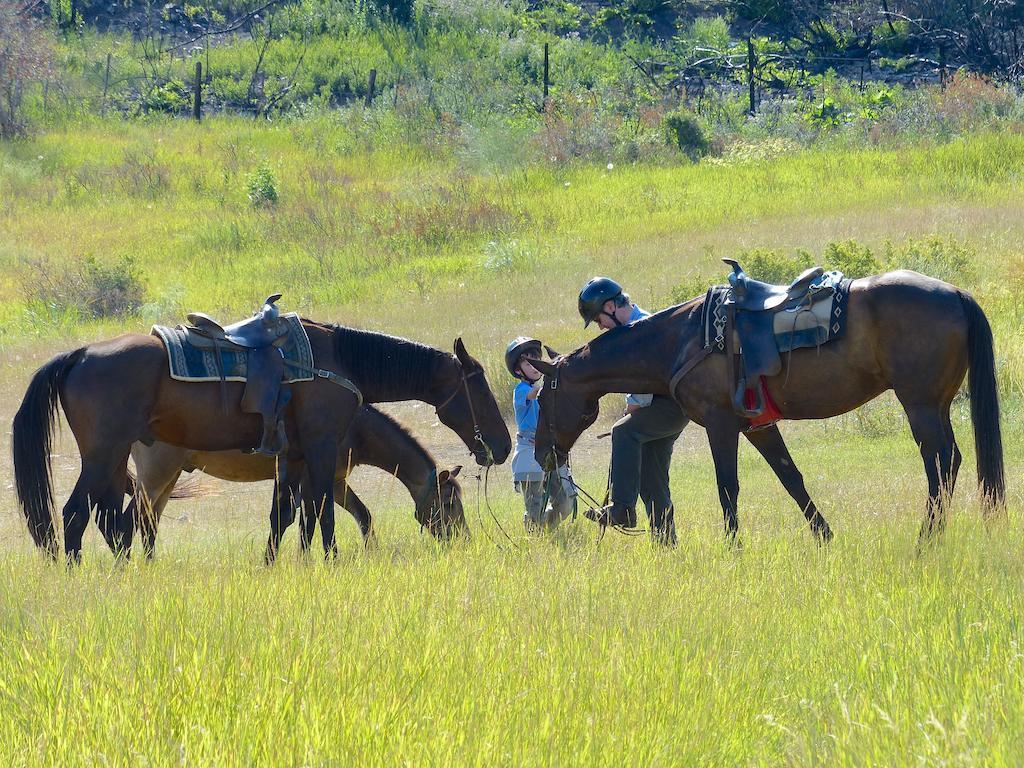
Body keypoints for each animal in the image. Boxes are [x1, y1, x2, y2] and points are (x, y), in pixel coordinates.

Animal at [128, 405, 468, 557]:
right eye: (449, 503)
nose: (464, 539)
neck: (353, 426)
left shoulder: (336, 482)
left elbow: (362, 515)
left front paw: (371, 552)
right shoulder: (313, 480)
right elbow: (309, 521)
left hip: (168, 478)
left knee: (150, 521)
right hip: (157, 476)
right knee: (135, 516)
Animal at [532, 260, 1003, 540]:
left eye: (540, 398)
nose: (541, 454)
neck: (682, 339)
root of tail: (955, 294)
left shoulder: (721, 424)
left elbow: (727, 487)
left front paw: (733, 550)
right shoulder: (760, 426)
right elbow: (792, 479)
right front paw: (825, 538)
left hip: (919, 405)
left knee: (939, 462)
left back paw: (927, 539)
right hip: (936, 404)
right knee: (951, 460)